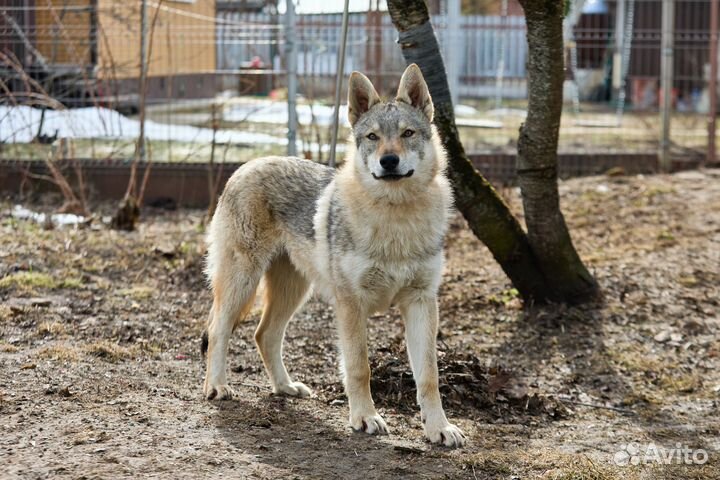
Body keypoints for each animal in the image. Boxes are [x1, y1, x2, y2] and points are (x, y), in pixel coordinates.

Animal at [200, 62, 464, 446]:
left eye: (408, 133)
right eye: (372, 137)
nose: (389, 161)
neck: (395, 218)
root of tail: (247, 164)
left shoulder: (421, 302)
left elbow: (429, 376)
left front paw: (438, 428)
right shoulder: (351, 304)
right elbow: (359, 367)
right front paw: (365, 418)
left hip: (294, 292)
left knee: (264, 335)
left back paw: (285, 387)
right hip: (243, 284)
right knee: (218, 330)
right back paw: (217, 387)